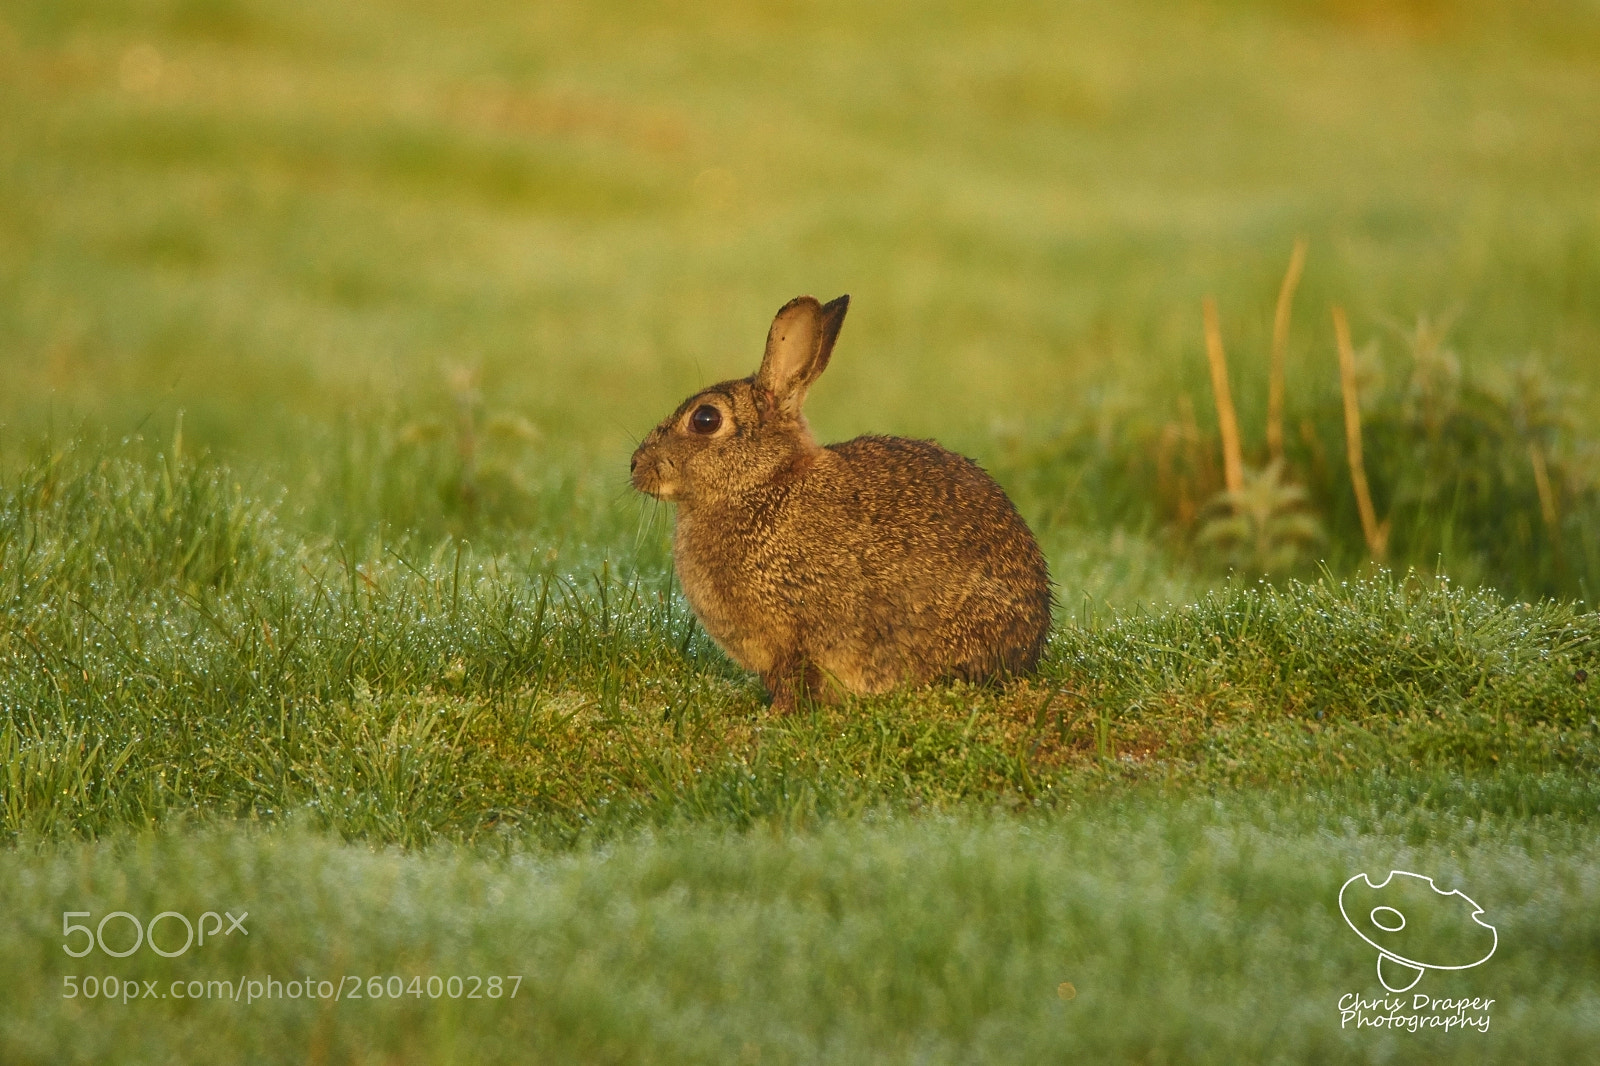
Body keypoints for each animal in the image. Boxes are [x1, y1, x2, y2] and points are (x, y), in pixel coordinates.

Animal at [630, 294, 1052, 712]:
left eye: (705, 419)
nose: (636, 466)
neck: (761, 482)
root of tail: (1027, 648)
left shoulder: (796, 630)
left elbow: (793, 679)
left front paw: (774, 716)